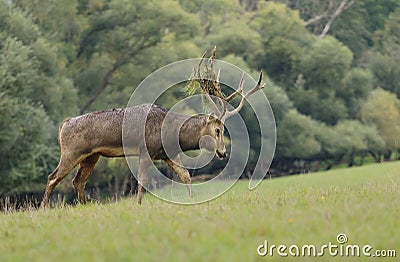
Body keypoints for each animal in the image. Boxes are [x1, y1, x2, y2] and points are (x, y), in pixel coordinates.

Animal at [40, 52, 266, 208]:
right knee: (53, 177)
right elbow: (143, 180)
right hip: (72, 151)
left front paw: (192, 200)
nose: (223, 152)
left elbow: (185, 175)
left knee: (78, 181)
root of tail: (63, 125)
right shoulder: (145, 149)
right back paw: (44, 208)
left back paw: (85, 206)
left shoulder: (167, 154)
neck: (172, 133)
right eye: (218, 130)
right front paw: (139, 204)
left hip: (91, 156)